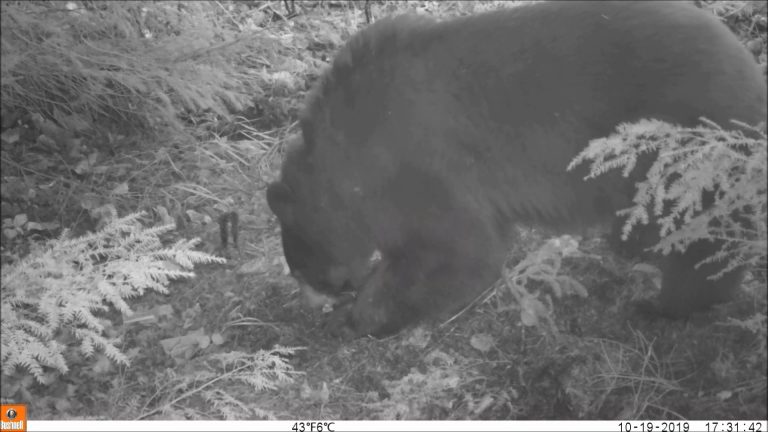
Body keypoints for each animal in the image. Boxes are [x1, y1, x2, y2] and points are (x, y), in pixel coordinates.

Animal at [267, 1, 767, 338]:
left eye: (301, 268)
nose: (312, 305)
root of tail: (749, 66)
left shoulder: (422, 166)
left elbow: (458, 250)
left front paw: (359, 316)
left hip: (682, 150)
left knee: (703, 235)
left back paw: (667, 305)